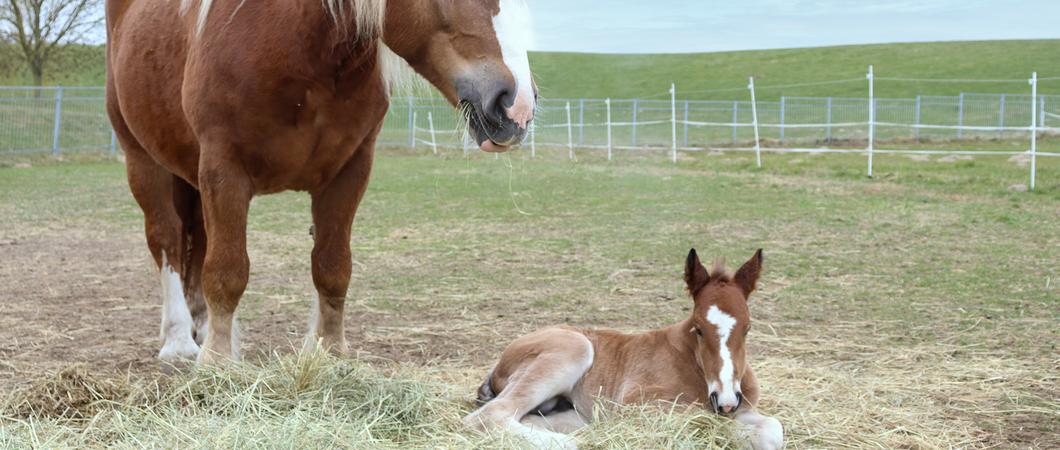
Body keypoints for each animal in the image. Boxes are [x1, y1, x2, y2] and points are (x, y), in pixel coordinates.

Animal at [105, 0, 538, 362]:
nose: (516, 105)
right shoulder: (222, 168)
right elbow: (227, 270)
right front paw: (218, 362)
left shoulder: (351, 170)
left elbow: (332, 266)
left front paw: (329, 351)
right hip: (143, 161)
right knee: (167, 242)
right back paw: (179, 341)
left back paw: (200, 327)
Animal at [468, 248, 784, 448]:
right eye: (698, 328)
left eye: (748, 328)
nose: (727, 401)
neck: (691, 363)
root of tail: (500, 362)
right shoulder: (637, 406)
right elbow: (704, 421)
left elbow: (772, 429)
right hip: (574, 349)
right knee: (487, 416)